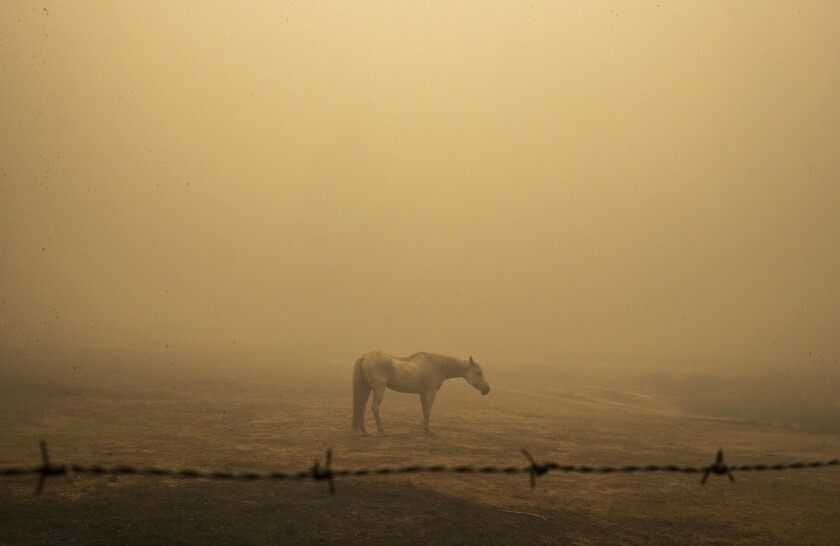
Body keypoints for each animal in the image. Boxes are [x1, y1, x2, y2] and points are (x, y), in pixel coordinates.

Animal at [352, 350, 490, 436]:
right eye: (478, 372)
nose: (487, 389)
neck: (436, 366)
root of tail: (364, 357)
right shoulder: (430, 392)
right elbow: (428, 411)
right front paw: (429, 431)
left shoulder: (422, 394)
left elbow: (424, 411)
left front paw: (425, 430)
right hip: (379, 389)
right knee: (374, 407)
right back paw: (383, 431)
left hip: (366, 389)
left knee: (361, 407)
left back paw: (364, 432)